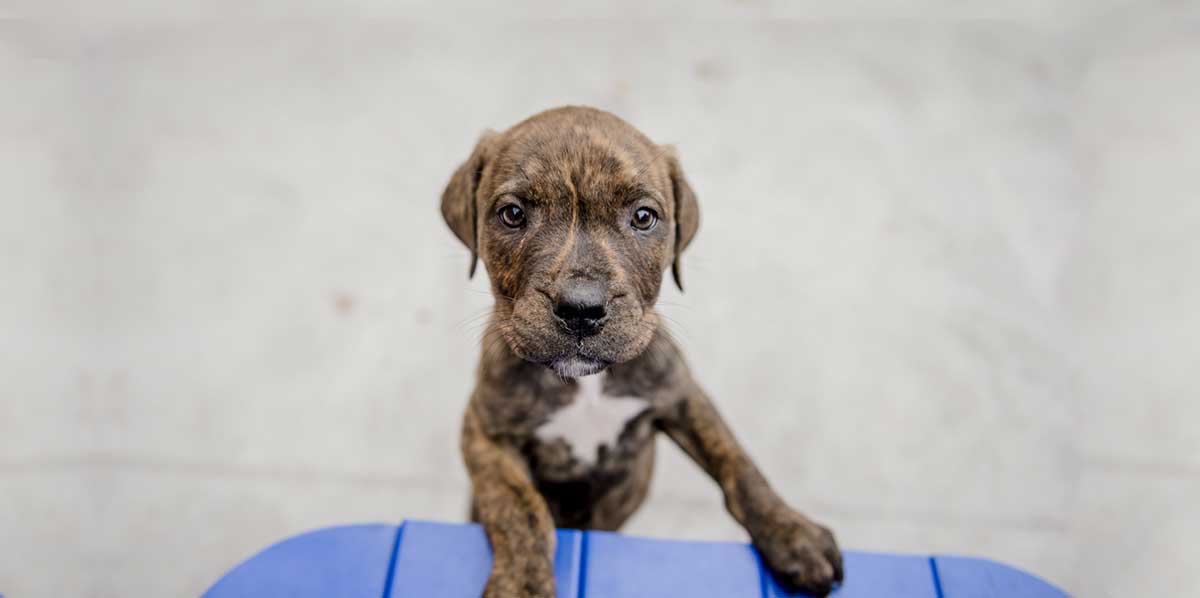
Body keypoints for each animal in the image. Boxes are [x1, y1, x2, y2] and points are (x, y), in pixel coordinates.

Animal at [441, 105, 844, 595]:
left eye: (644, 217)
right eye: (512, 213)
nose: (581, 308)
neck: (587, 384)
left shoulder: (683, 395)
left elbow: (738, 462)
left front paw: (792, 533)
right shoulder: (485, 431)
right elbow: (519, 508)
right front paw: (522, 583)